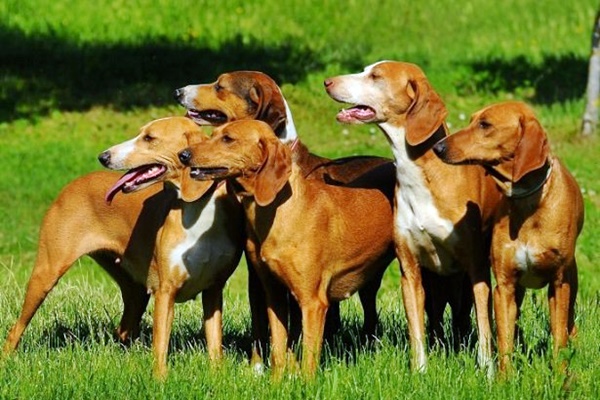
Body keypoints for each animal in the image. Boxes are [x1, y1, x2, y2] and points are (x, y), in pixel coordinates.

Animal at [324, 60, 502, 376]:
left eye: (375, 76)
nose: (327, 82)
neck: (423, 175)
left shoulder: (476, 268)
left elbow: (484, 325)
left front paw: (487, 371)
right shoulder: (410, 270)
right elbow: (416, 330)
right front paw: (420, 371)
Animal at [434, 101, 584, 372]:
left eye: (485, 124)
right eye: (472, 120)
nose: (438, 147)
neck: (527, 203)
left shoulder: (559, 284)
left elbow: (559, 339)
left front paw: (560, 377)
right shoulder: (504, 286)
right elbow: (505, 343)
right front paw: (505, 378)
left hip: (570, 281)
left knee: (569, 325)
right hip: (519, 289)